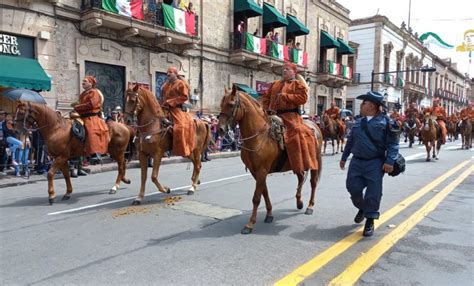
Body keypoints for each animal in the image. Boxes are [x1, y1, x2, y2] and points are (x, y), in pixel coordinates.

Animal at [218, 87, 322, 235]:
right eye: (221, 104)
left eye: (231, 104)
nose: (220, 129)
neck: (259, 136)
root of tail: (315, 125)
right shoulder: (256, 172)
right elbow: (264, 192)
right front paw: (269, 214)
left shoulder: (262, 170)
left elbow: (256, 197)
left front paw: (250, 224)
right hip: (297, 162)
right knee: (301, 178)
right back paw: (299, 202)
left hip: (314, 162)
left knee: (313, 183)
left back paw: (310, 206)